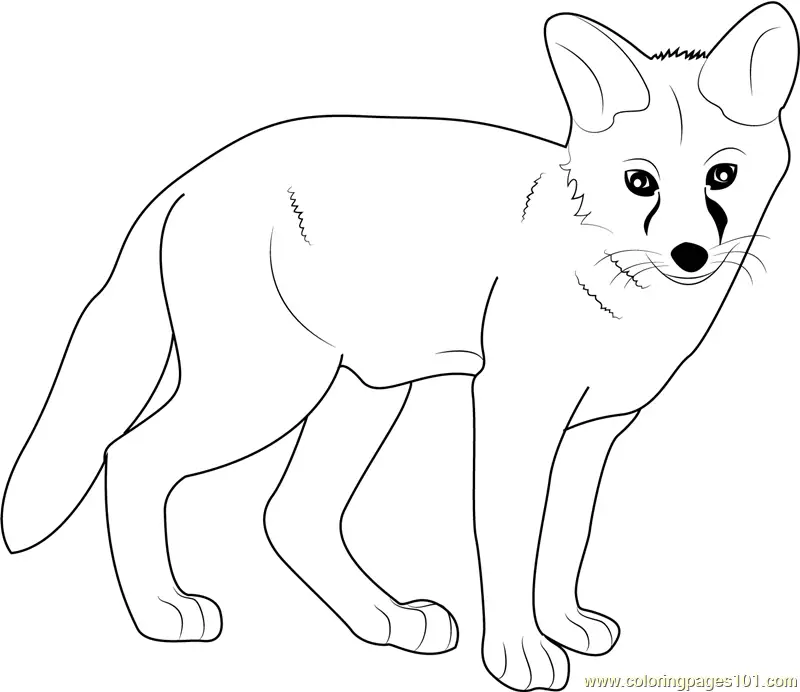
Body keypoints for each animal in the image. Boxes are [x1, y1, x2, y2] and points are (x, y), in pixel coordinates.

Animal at [2, 3, 798, 690]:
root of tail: (189, 178)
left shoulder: (593, 431)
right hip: (271, 390)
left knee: (289, 513)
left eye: (722, 176)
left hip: (363, 393)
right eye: (640, 182)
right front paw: (518, 655)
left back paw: (387, 621)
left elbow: (565, 542)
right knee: (130, 456)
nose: (691, 254)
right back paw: (163, 612)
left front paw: (564, 625)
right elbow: (509, 542)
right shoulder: (515, 410)